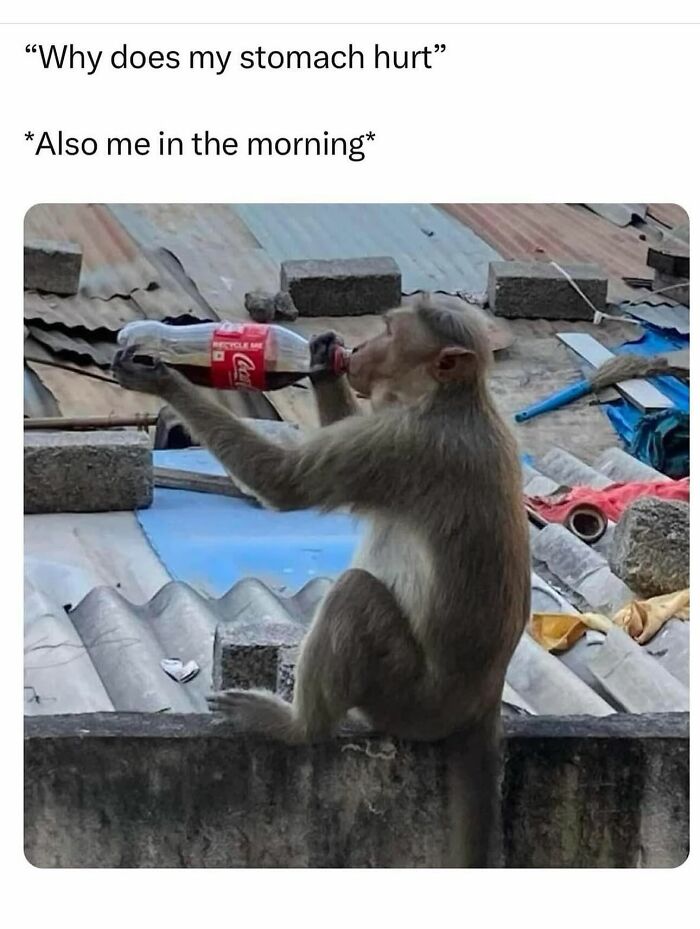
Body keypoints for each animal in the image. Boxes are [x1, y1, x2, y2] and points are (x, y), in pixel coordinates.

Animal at [113, 293, 530, 865]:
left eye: (390, 333)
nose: (361, 348)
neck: (450, 399)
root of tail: (481, 703)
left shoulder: (403, 444)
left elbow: (285, 482)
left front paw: (160, 374)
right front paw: (321, 359)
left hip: (407, 696)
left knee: (355, 595)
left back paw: (297, 728)